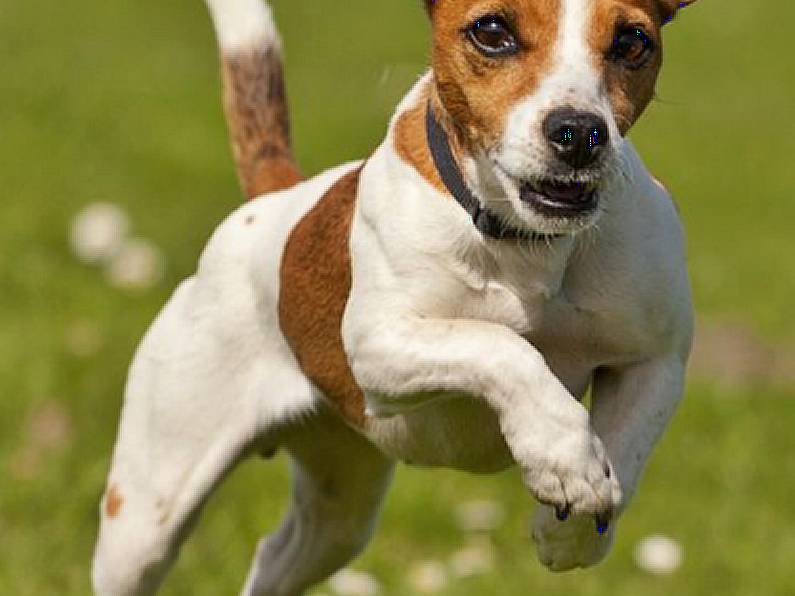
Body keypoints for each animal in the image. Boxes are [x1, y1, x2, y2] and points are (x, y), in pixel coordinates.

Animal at [91, 1, 696, 592]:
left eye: (632, 41)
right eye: (491, 31)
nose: (578, 132)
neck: (527, 243)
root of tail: (278, 197)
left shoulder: (656, 360)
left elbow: (625, 445)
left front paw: (574, 526)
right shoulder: (378, 347)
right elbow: (502, 346)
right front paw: (564, 455)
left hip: (340, 507)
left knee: (275, 557)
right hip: (146, 516)